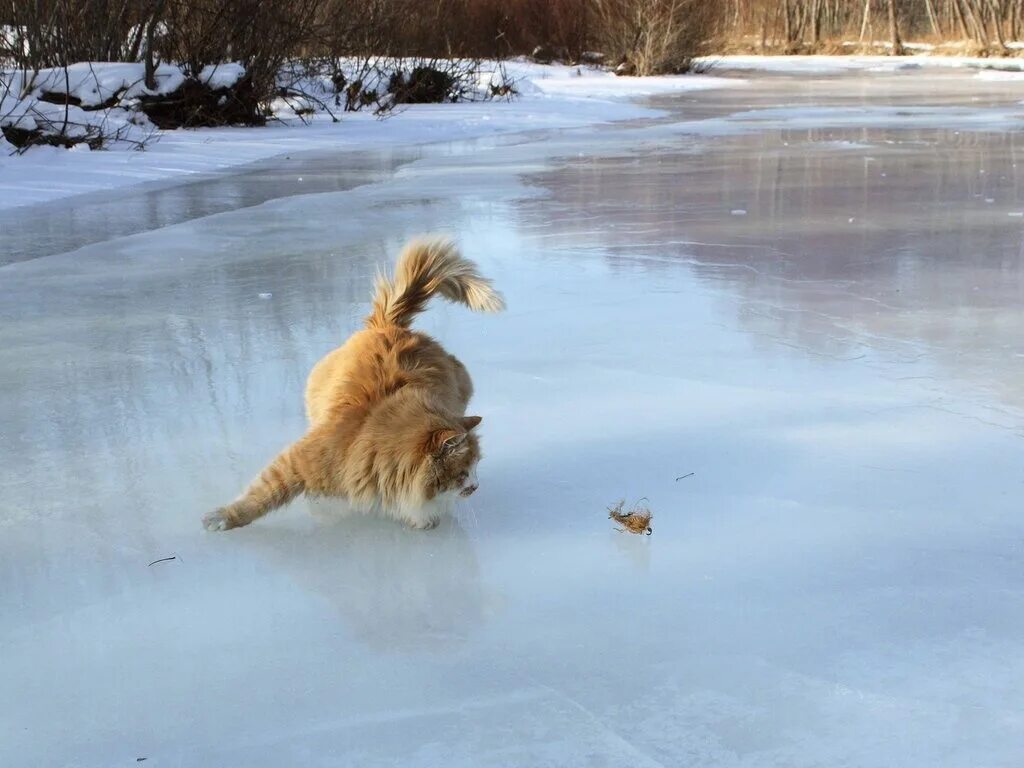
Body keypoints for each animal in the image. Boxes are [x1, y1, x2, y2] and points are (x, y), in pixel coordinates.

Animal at [202, 237, 503, 532]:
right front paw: (224, 517)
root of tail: (387, 324)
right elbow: (262, 493)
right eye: (463, 472)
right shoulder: (298, 462)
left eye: (476, 465)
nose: (476, 486)